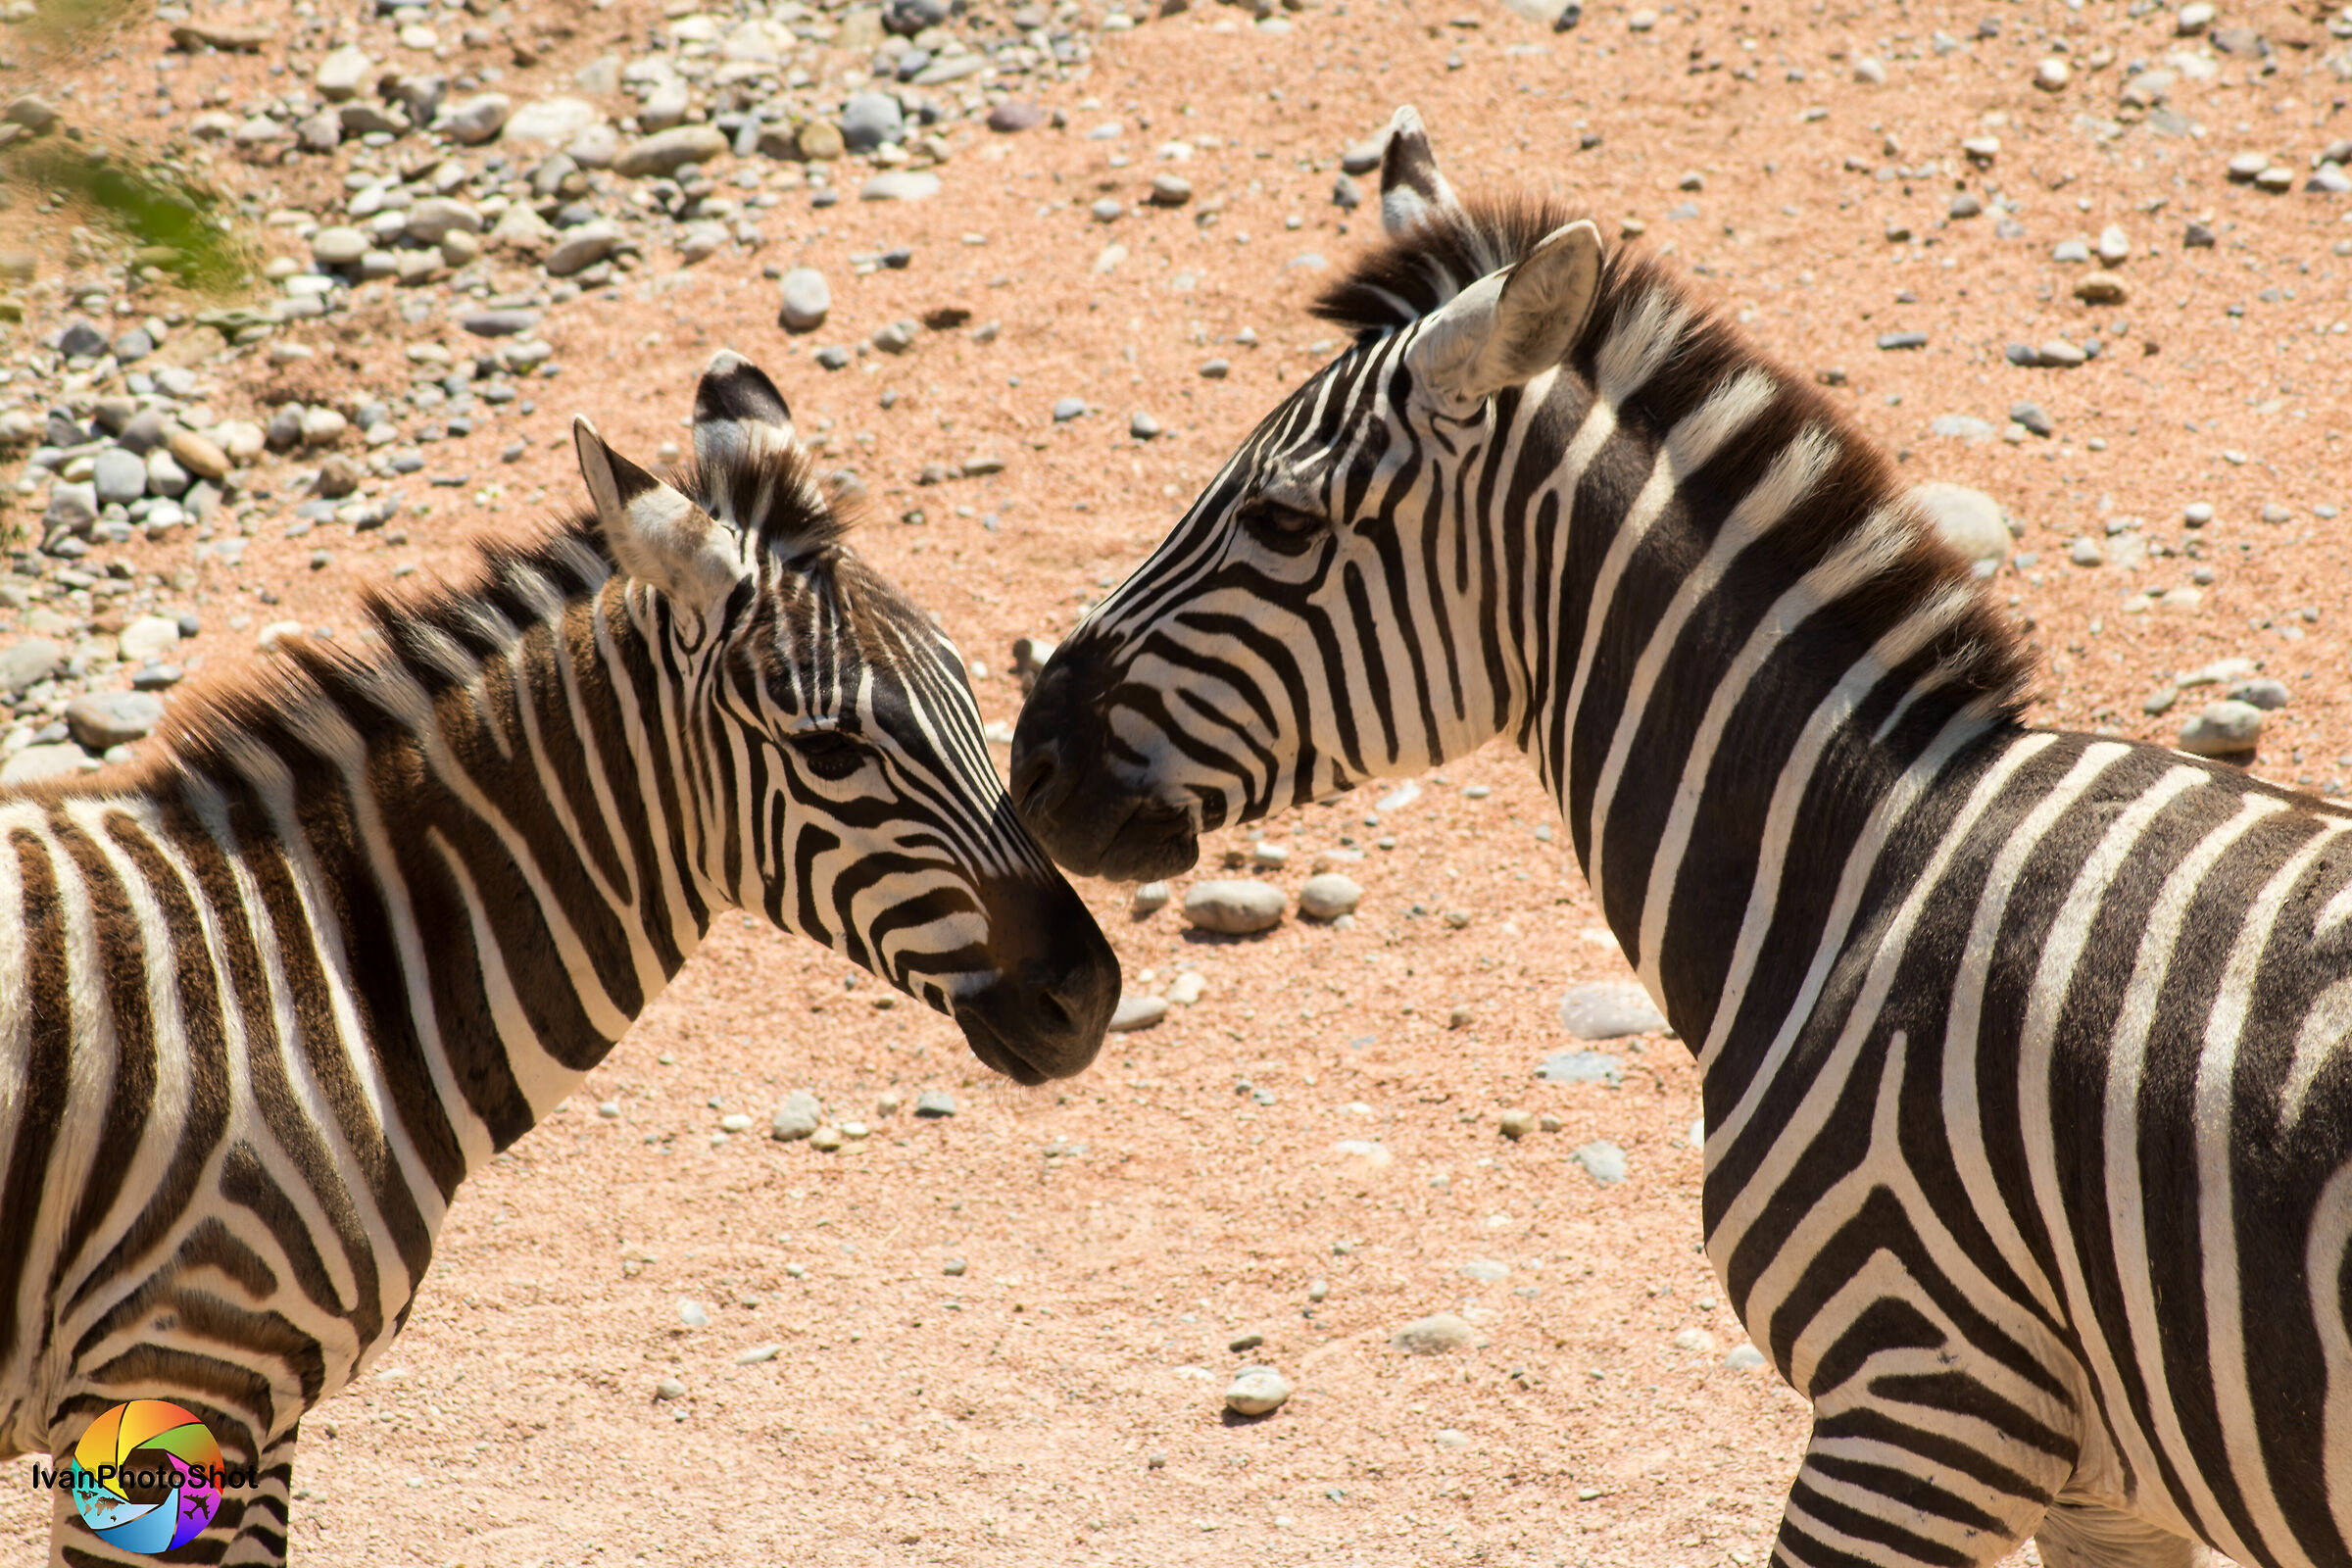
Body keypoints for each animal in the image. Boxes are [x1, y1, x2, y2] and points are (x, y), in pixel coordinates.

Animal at [2, 350, 1118, 1566]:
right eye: (829, 748)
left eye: (970, 688)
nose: (1091, 993)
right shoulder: (172, 1380)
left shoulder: (260, 1408)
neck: (327, 968)